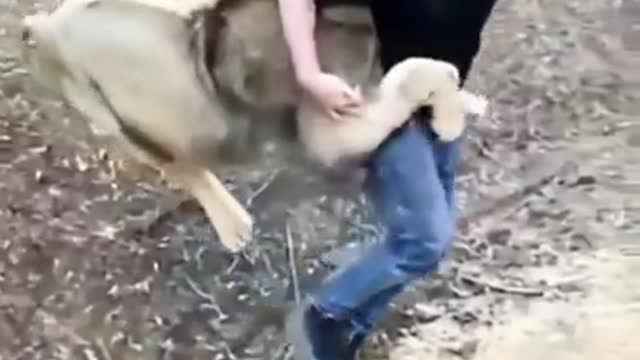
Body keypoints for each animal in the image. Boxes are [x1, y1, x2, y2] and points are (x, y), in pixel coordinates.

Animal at [22, 0, 488, 253]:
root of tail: (40, 24)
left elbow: (422, 71)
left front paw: (465, 103)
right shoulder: (329, 126)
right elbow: (423, 71)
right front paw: (450, 118)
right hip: (110, 115)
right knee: (180, 165)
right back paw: (234, 227)